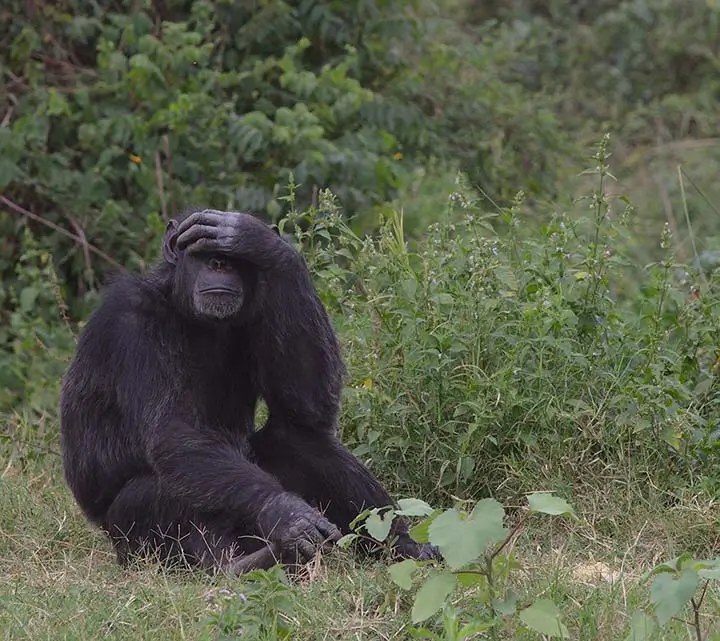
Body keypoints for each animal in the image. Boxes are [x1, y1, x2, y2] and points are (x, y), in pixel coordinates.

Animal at [59, 208, 436, 572]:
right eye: (201, 251)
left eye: (234, 258)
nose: (219, 263)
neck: (188, 313)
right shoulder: (130, 321)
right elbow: (172, 432)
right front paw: (286, 512)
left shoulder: (263, 308)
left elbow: (308, 407)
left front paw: (259, 240)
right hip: (132, 544)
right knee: (155, 489)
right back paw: (238, 565)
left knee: (299, 438)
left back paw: (406, 547)